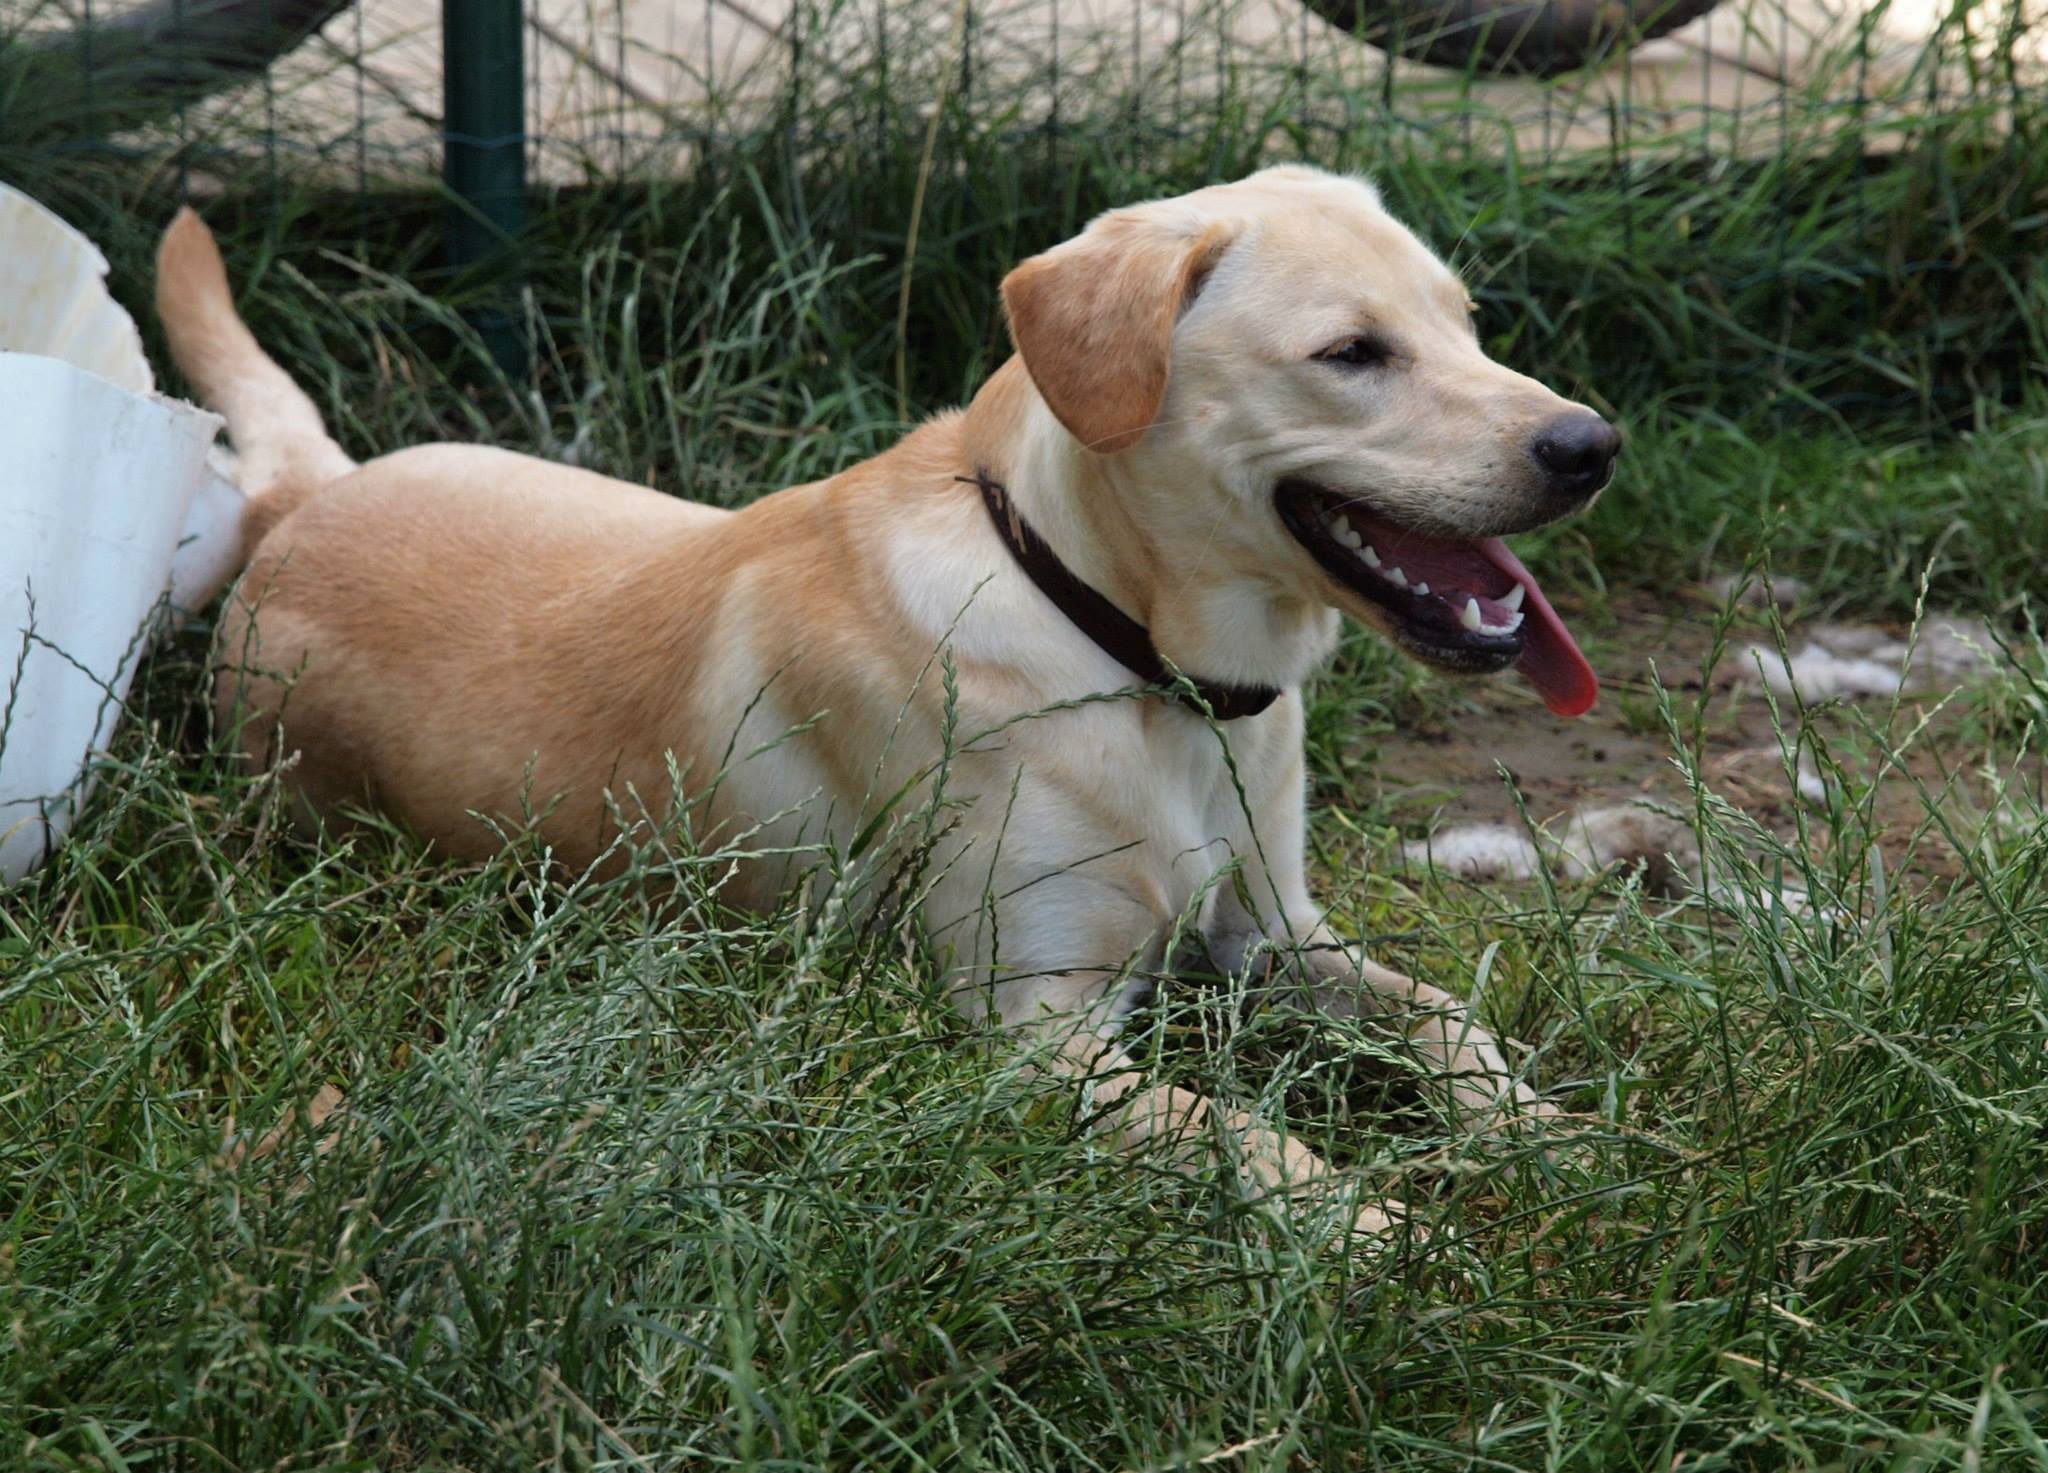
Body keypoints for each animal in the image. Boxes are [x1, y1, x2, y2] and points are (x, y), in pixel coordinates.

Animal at [156, 166, 1615, 1231]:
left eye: (1467, 324)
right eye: (1350, 352)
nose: (1590, 444)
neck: (1136, 659)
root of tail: (303, 504)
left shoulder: (1274, 933)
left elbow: (1453, 1023)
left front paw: (1550, 1140)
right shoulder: (1034, 1028)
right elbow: (1245, 1134)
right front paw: (1389, 1238)